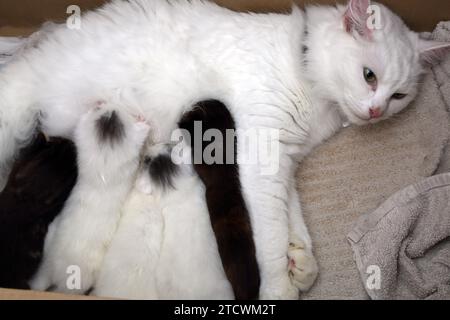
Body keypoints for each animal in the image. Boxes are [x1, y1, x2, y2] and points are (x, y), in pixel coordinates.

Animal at [29, 103, 149, 296]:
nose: (110, 106)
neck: (104, 160)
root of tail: (52, 272)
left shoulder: (83, 133)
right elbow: (142, 132)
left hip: (48, 248)